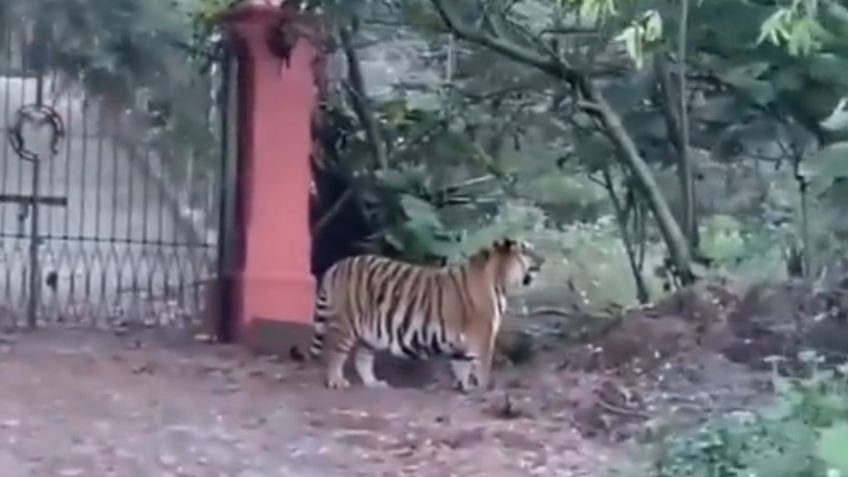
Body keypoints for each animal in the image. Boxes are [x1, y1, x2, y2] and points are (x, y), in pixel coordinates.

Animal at [310, 238, 544, 390]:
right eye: (526, 250)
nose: (543, 260)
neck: (499, 280)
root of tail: (336, 266)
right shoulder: (483, 334)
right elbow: (482, 365)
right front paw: (484, 388)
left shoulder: (463, 341)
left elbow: (462, 364)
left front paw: (465, 388)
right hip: (345, 325)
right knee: (334, 354)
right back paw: (337, 382)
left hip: (369, 333)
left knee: (362, 358)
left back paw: (373, 383)